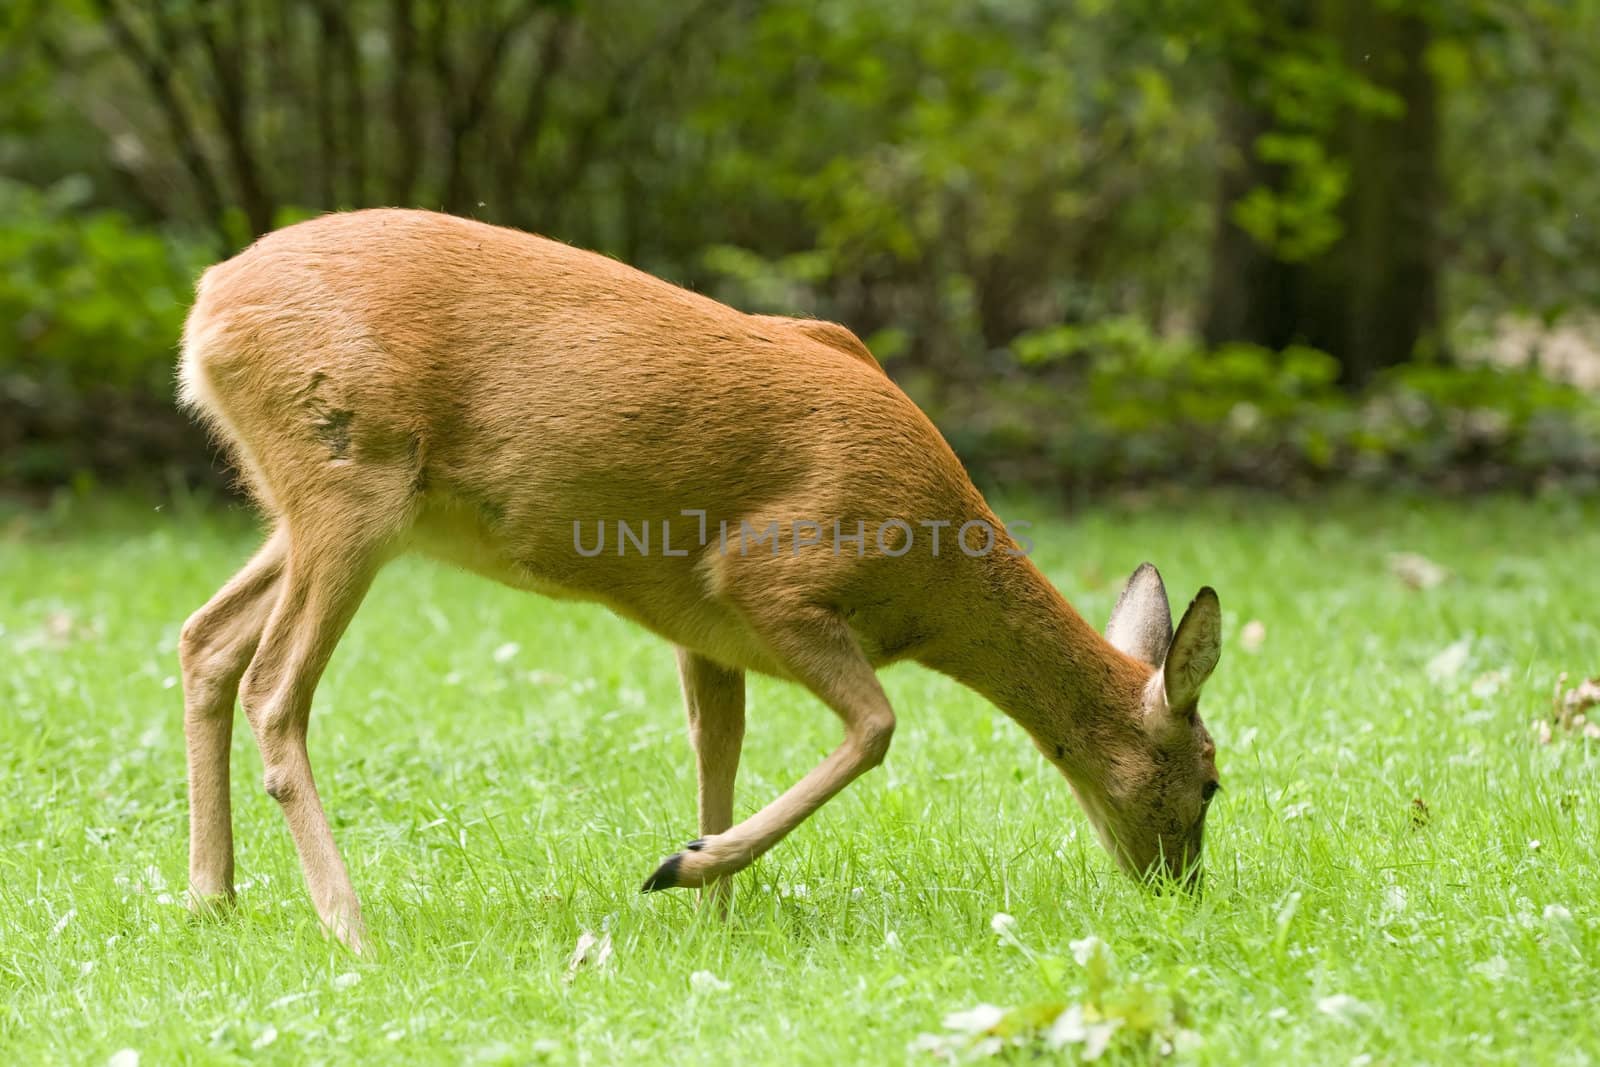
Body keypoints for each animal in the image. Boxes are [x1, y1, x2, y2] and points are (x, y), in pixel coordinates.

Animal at [178, 207, 1222, 953]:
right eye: (1212, 781)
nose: (1184, 890)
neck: (933, 585)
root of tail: (205, 307)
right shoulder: (770, 575)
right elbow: (877, 726)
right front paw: (681, 869)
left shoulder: (704, 631)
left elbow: (717, 745)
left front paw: (709, 907)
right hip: (348, 477)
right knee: (274, 686)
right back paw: (347, 925)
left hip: (311, 506)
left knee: (206, 639)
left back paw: (212, 899)